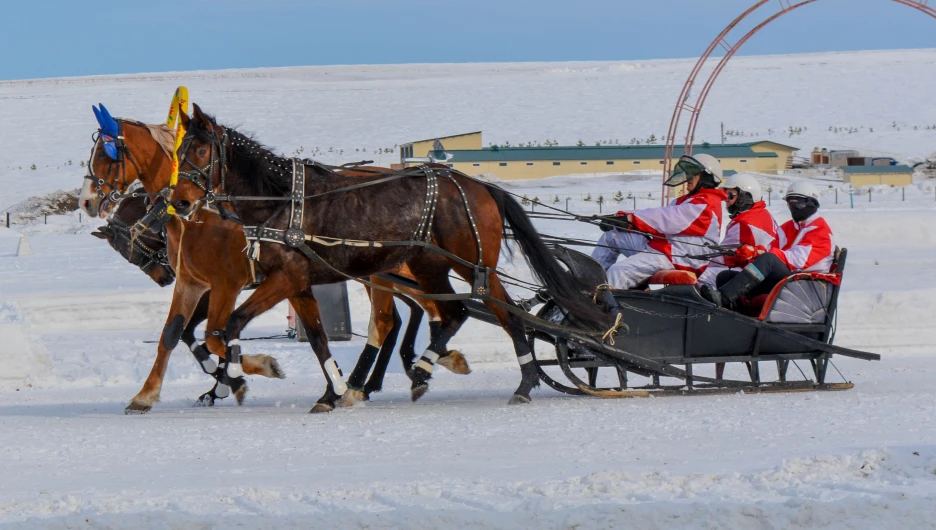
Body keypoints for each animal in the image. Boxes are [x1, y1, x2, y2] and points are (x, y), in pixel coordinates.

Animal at [167, 105, 608, 406]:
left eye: (202, 151)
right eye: (178, 150)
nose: (179, 201)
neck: (280, 200)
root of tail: (480, 186)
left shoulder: (284, 278)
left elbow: (229, 325)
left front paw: (239, 377)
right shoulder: (297, 281)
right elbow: (316, 338)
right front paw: (334, 390)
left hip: (471, 263)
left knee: (489, 310)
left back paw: (505, 378)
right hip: (432, 266)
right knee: (460, 312)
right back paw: (436, 369)